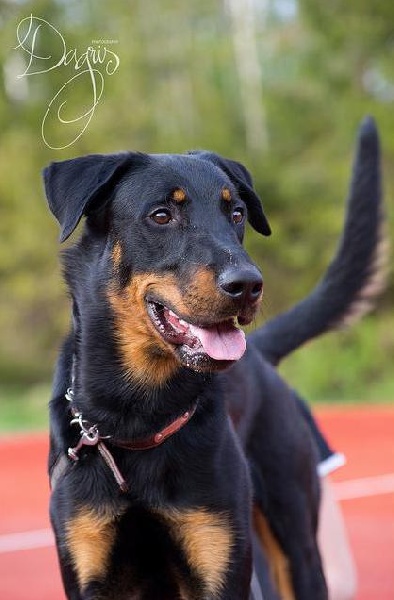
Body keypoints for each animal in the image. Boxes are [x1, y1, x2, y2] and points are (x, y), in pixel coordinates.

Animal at [44, 118, 384, 600]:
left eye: (236, 214)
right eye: (161, 215)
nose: (248, 284)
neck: (137, 413)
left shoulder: (218, 560)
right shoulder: (89, 566)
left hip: (296, 545)